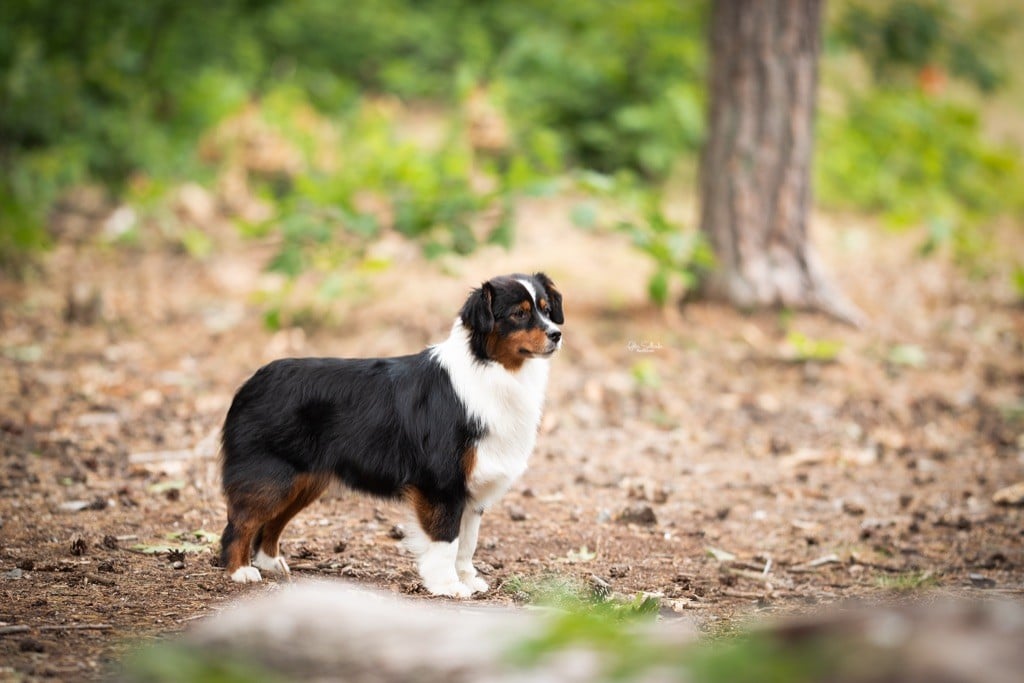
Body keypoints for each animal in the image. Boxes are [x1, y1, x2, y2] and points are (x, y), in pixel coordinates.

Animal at [219, 272, 565, 598]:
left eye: (547, 310)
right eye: (519, 314)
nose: (557, 334)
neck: (489, 369)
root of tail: (250, 382)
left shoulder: (472, 490)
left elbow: (467, 543)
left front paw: (467, 579)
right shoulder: (442, 484)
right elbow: (447, 541)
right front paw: (447, 585)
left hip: (304, 481)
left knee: (272, 523)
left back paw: (269, 562)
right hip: (272, 477)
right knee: (241, 522)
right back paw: (240, 571)